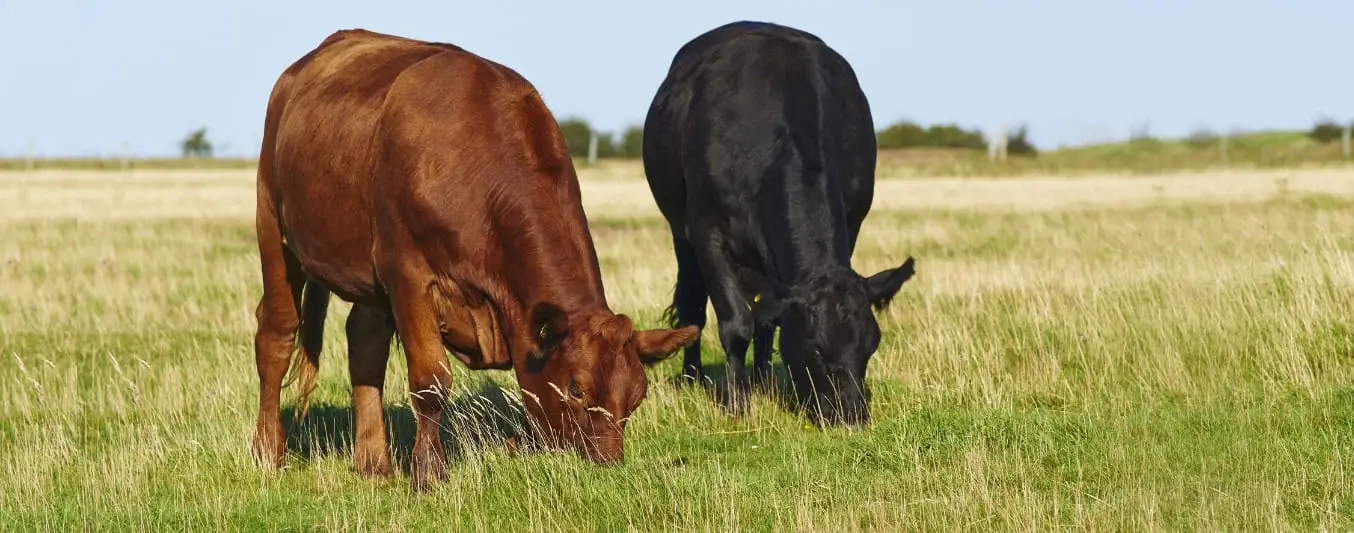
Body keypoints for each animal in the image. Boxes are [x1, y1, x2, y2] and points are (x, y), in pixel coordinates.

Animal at [250, 30, 704, 492]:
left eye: (637, 396)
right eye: (576, 389)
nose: (606, 462)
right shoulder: (406, 272)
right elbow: (431, 380)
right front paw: (429, 473)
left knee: (364, 343)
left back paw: (373, 462)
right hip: (272, 224)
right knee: (277, 334)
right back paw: (268, 450)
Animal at [639, 21, 915, 430]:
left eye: (872, 344)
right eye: (815, 348)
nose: (851, 417)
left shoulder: (851, 223)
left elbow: (765, 320)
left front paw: (760, 385)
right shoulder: (707, 232)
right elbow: (736, 322)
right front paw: (736, 405)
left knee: (764, 319)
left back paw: (761, 378)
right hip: (679, 230)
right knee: (692, 306)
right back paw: (693, 376)